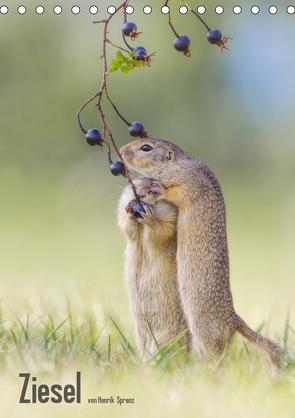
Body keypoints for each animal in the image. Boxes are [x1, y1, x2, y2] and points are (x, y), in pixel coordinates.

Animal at [117, 176, 190, 356]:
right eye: (134, 183)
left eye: (153, 188)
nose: (139, 195)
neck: (141, 226)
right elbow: (126, 225)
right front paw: (130, 211)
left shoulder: (171, 217)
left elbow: (160, 231)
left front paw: (149, 218)